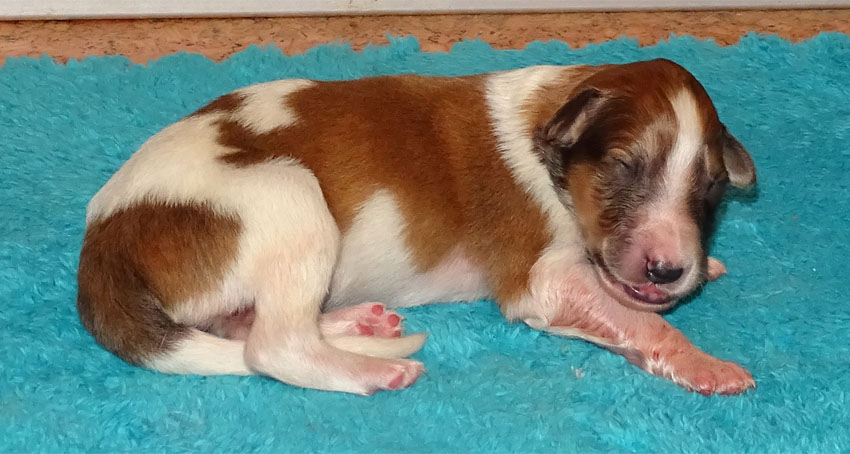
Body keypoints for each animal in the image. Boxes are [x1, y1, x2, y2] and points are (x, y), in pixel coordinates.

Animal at [77, 58, 757, 395]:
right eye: (622, 166)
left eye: (711, 189)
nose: (669, 268)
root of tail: (102, 243)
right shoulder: (542, 280)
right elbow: (643, 322)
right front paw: (709, 367)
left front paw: (707, 269)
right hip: (290, 197)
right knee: (273, 347)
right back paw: (372, 370)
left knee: (248, 326)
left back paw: (360, 325)